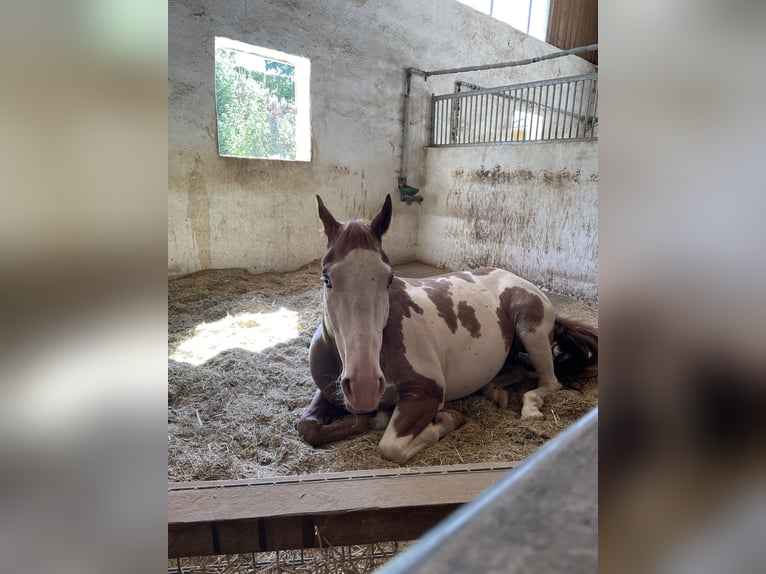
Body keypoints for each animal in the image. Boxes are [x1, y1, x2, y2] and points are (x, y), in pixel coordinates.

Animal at [297, 194, 598, 464]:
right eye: (326, 279)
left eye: (389, 278)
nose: (364, 386)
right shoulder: (328, 392)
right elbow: (307, 427)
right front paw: (371, 418)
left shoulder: (426, 393)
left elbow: (392, 447)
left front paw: (446, 419)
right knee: (520, 371)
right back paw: (495, 391)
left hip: (532, 333)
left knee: (549, 382)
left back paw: (530, 407)